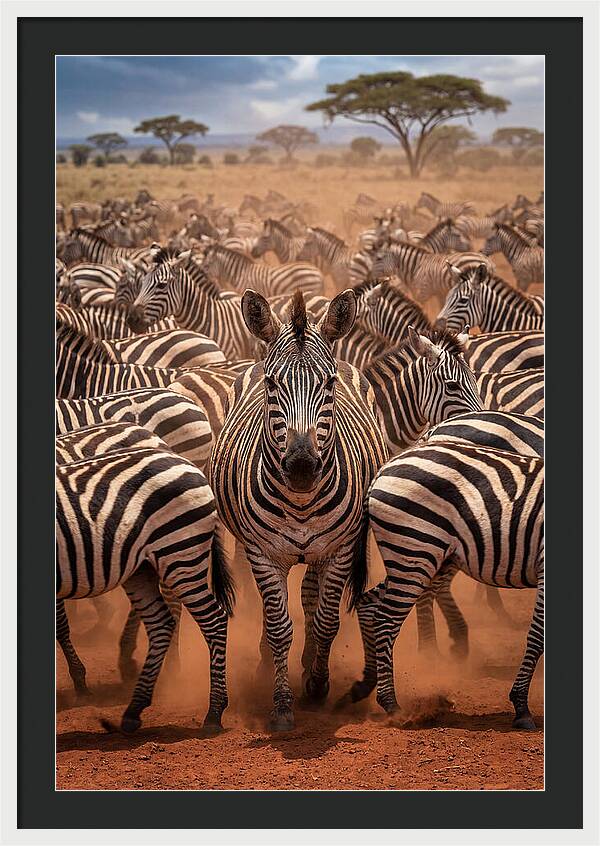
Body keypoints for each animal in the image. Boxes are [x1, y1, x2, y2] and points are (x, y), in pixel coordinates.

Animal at [57, 445, 234, 732]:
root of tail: (187, 463)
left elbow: (60, 625)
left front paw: (80, 683)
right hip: (143, 567)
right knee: (161, 622)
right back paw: (134, 708)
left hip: (180, 553)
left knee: (214, 620)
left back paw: (214, 712)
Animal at [210, 289, 388, 730]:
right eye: (272, 384)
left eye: (329, 384)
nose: (303, 467)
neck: (302, 502)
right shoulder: (262, 553)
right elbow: (278, 626)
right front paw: (282, 704)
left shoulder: (341, 549)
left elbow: (326, 619)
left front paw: (317, 685)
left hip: (324, 550)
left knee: (311, 594)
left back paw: (309, 664)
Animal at [350, 442, 543, 730]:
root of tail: (385, 468)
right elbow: (537, 636)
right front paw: (521, 707)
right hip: (415, 550)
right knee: (385, 620)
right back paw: (392, 705)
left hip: (416, 557)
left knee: (368, 604)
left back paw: (366, 683)